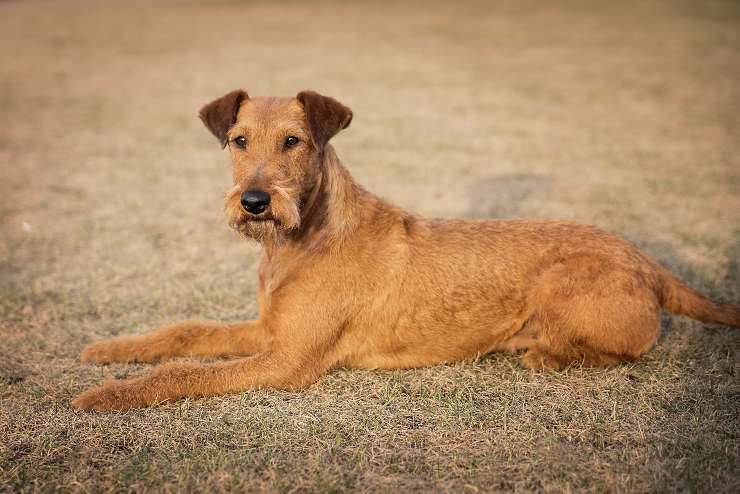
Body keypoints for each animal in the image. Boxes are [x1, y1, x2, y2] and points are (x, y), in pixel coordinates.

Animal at [71, 90, 740, 412]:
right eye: (238, 140)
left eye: (293, 141)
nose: (256, 202)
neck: (306, 239)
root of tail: (647, 260)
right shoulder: (270, 333)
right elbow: (186, 333)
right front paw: (112, 351)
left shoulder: (286, 363)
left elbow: (185, 372)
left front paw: (107, 395)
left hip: (561, 283)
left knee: (623, 349)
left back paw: (546, 353)